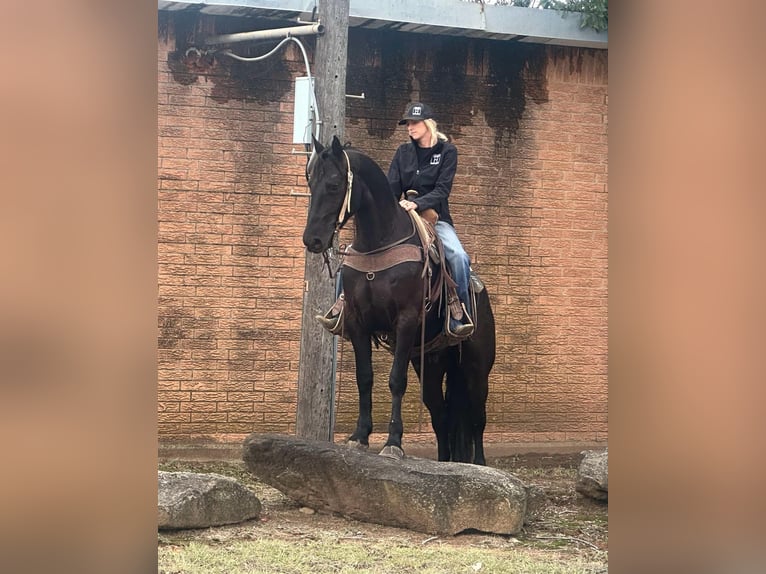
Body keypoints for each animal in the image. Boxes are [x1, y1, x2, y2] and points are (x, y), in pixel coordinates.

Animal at [302, 135, 495, 464]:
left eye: (334, 184)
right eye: (310, 181)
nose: (312, 239)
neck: (379, 243)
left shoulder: (405, 321)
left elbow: (395, 380)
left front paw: (393, 443)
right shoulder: (357, 323)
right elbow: (364, 377)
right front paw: (359, 437)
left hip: (476, 369)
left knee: (476, 420)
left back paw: (480, 465)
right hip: (431, 365)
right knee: (441, 417)